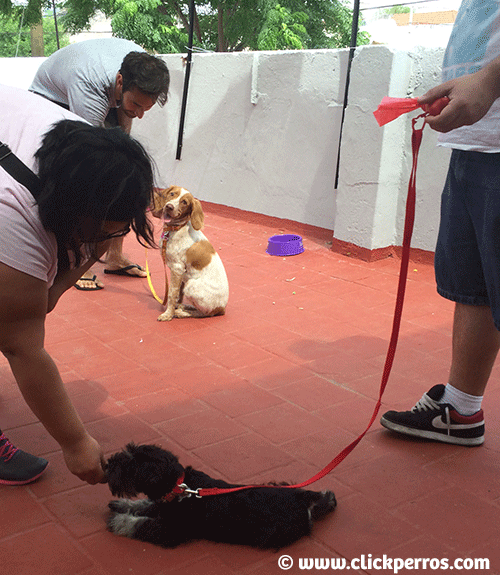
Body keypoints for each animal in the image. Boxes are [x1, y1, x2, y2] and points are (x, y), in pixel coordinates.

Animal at [105, 444, 336, 552]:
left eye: (130, 465)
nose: (107, 464)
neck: (180, 488)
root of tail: (304, 502)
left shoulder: (171, 531)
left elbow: (139, 524)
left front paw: (117, 520)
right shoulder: (163, 507)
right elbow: (146, 505)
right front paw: (122, 505)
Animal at [150, 186, 229, 322]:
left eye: (184, 202)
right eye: (172, 194)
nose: (169, 207)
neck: (176, 229)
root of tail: (222, 308)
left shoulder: (177, 269)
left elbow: (172, 294)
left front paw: (168, 314)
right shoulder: (182, 273)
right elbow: (178, 294)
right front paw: (177, 306)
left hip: (192, 285)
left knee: (206, 313)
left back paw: (183, 313)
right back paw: (185, 307)